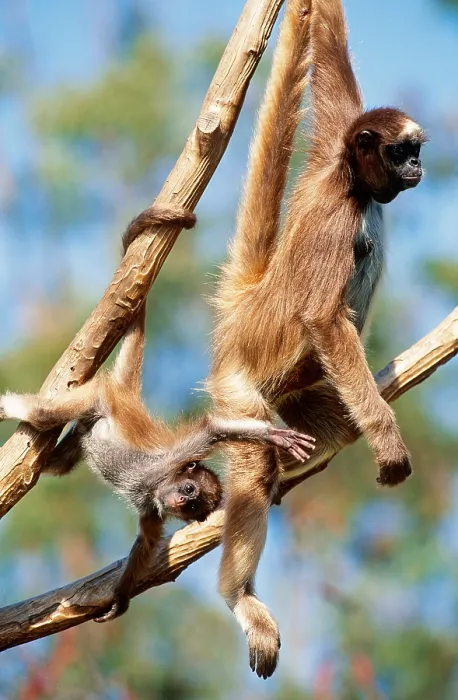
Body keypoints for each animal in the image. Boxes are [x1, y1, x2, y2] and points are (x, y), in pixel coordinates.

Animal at [0, 203, 316, 622]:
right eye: (189, 490)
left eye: (194, 504)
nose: (182, 501)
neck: (156, 486)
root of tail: (125, 395)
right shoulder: (168, 464)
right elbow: (214, 429)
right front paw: (272, 434)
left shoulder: (154, 508)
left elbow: (145, 543)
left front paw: (120, 599)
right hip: (98, 396)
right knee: (44, 416)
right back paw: (11, 406)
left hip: (88, 424)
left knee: (59, 464)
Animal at [205, 0, 427, 678]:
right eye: (402, 151)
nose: (418, 166)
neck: (351, 183)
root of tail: (245, 315)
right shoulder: (336, 216)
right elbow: (324, 321)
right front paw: (386, 438)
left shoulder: (332, 141)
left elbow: (328, 52)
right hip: (240, 390)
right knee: (255, 463)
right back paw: (238, 596)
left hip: (303, 395)